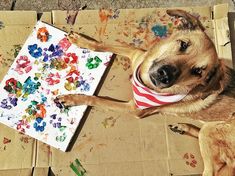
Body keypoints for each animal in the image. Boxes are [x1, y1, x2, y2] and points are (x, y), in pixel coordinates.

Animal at [56, 9, 235, 176]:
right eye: (184, 44)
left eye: (197, 71)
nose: (165, 76)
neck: (145, 80)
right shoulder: (136, 53)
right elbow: (102, 45)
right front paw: (82, 41)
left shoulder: (133, 109)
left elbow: (97, 100)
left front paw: (73, 99)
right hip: (208, 130)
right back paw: (183, 127)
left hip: (211, 133)